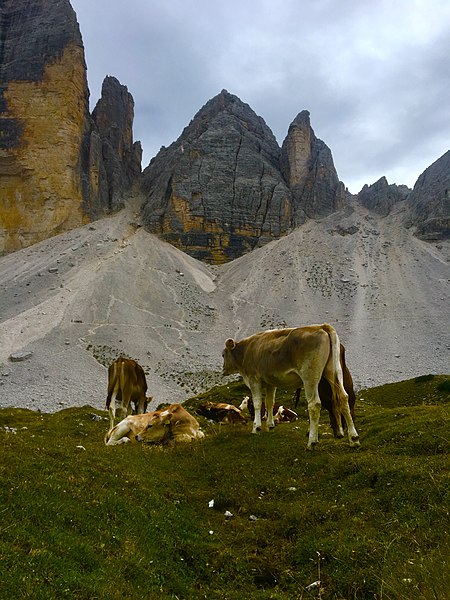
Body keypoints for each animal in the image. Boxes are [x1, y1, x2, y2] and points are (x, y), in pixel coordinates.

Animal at [221, 324, 358, 450]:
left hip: (310, 377)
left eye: (223, 355)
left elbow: (257, 404)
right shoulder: (271, 382)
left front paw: (256, 427)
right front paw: (270, 425)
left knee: (314, 404)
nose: (223, 370)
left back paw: (312, 442)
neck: (246, 351)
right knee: (344, 398)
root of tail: (321, 326)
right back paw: (354, 439)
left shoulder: (254, 380)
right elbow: (270, 402)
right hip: (334, 372)